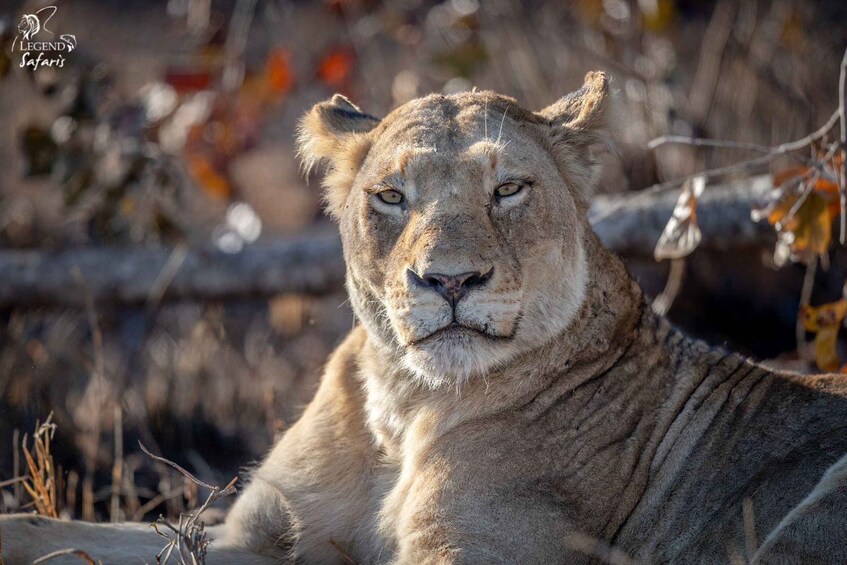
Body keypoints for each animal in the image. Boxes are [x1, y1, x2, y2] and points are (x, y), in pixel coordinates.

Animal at [3, 72, 847, 564]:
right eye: (391, 196)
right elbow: (52, 533)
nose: (449, 280)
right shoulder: (261, 532)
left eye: (507, 188)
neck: (400, 405)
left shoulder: (474, 550)